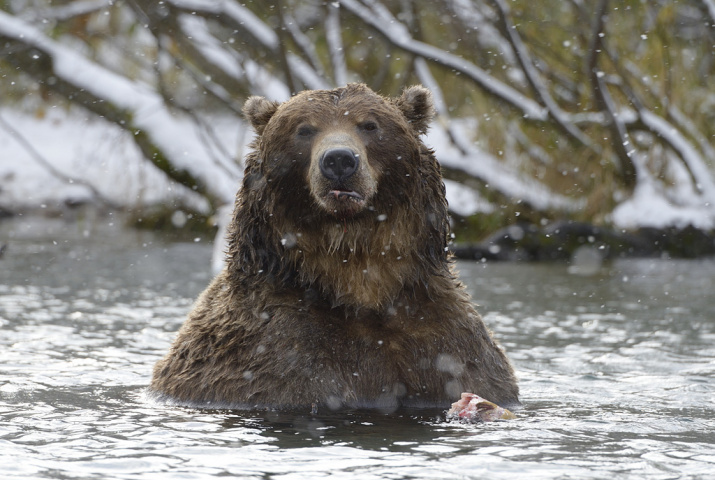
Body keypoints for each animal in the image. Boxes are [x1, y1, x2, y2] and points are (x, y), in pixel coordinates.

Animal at [151, 84, 520, 410]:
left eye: (370, 125)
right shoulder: (269, 349)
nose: (339, 160)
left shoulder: (441, 338)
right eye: (303, 130)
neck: (358, 282)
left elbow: (465, 368)